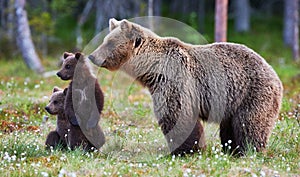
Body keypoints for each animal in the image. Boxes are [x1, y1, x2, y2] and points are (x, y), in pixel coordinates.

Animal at [88, 18, 284, 156]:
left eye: (110, 42)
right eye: (105, 40)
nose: (92, 56)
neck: (153, 70)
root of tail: (274, 72)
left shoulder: (176, 81)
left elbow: (177, 115)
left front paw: (185, 150)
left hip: (252, 93)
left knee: (249, 124)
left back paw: (249, 150)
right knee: (230, 127)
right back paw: (232, 150)